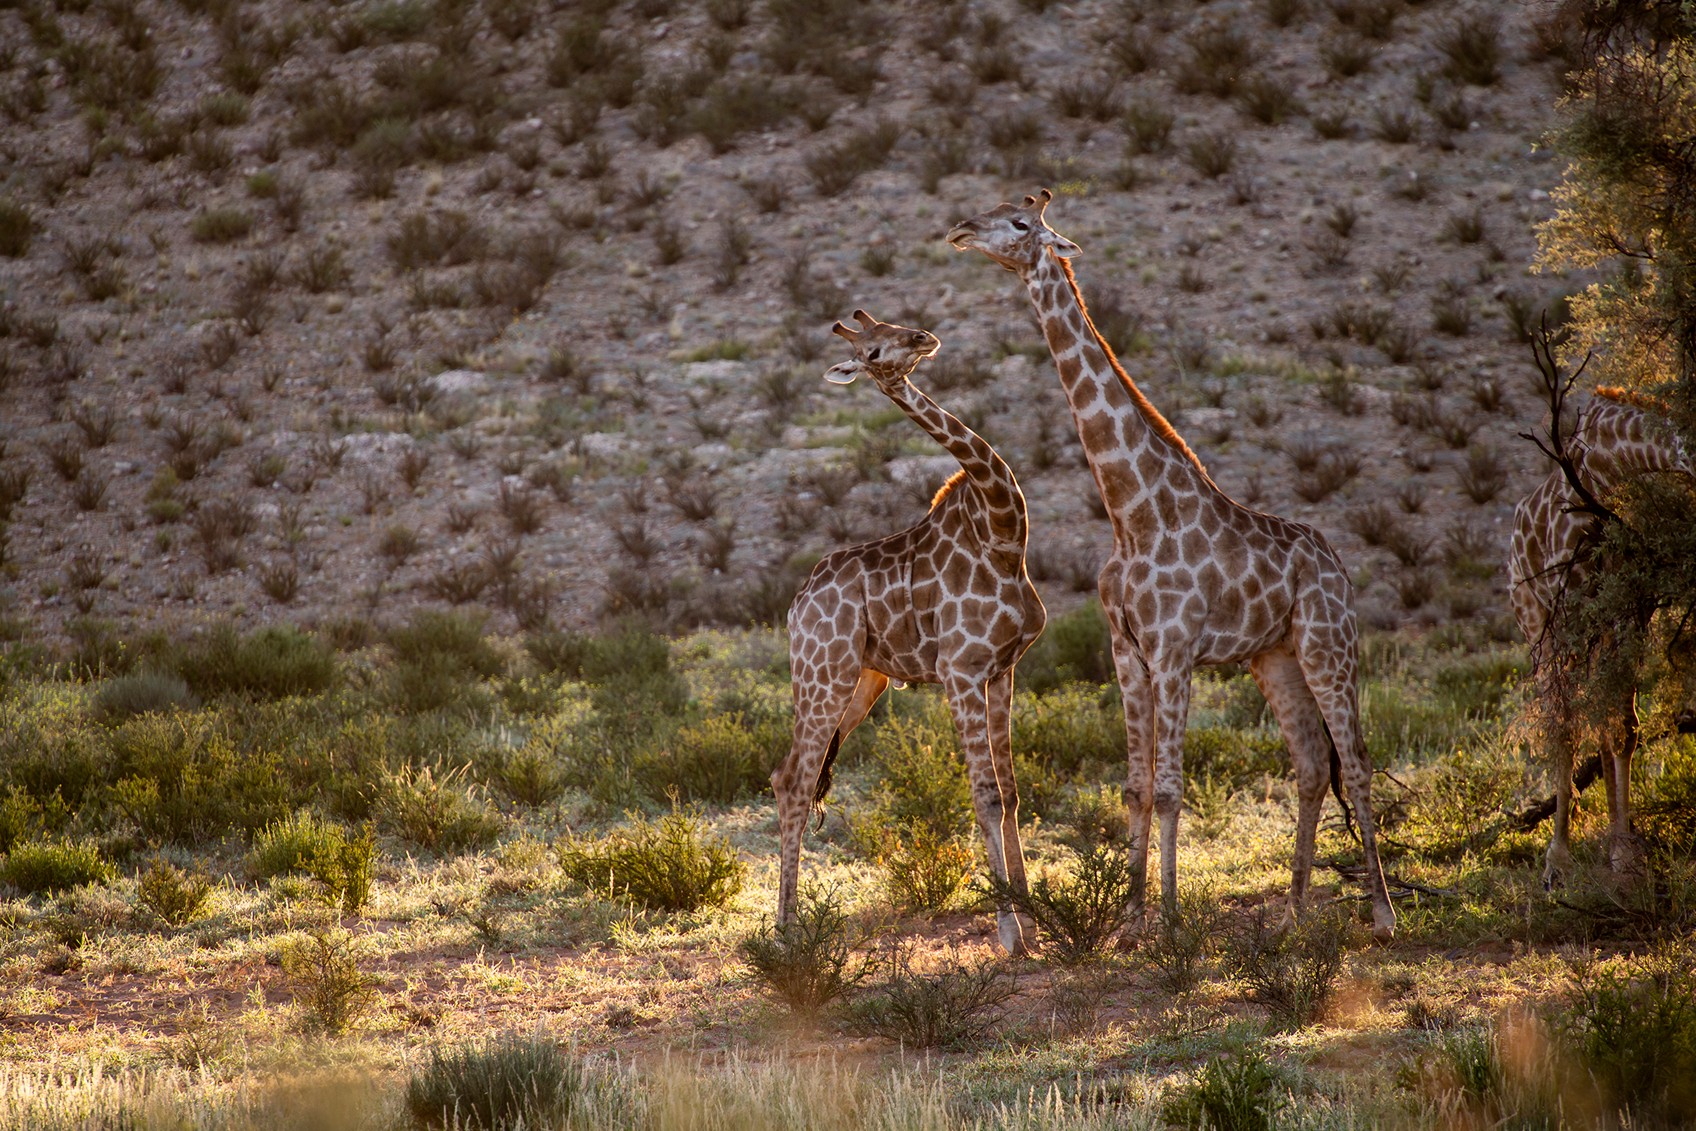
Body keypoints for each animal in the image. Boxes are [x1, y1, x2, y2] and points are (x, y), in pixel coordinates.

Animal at [773, 310, 1044, 956]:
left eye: (894, 324)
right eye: (872, 351)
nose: (923, 339)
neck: (1002, 536)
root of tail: (796, 605)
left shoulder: (1004, 669)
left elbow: (1012, 794)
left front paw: (1036, 921)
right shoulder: (961, 672)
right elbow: (985, 796)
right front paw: (1009, 935)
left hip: (861, 682)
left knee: (786, 776)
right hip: (821, 677)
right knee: (794, 781)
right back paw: (786, 935)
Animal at [949, 189, 1397, 942]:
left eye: (1019, 222)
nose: (958, 229)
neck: (1132, 510)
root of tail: (1338, 566)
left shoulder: (1175, 648)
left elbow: (1168, 789)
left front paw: (1172, 921)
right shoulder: (1126, 650)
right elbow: (1134, 787)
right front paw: (1131, 922)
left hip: (1329, 645)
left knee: (1357, 761)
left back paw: (1384, 914)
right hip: (1273, 655)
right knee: (1311, 763)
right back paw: (1294, 914)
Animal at [1506, 393, 1689, 888]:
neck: (1609, 471)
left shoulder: (1630, 610)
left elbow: (1622, 728)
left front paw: (1624, 856)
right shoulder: (1572, 607)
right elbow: (1578, 726)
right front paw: (1564, 859)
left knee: (1602, 723)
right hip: (1539, 626)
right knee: (1562, 724)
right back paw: (1558, 860)